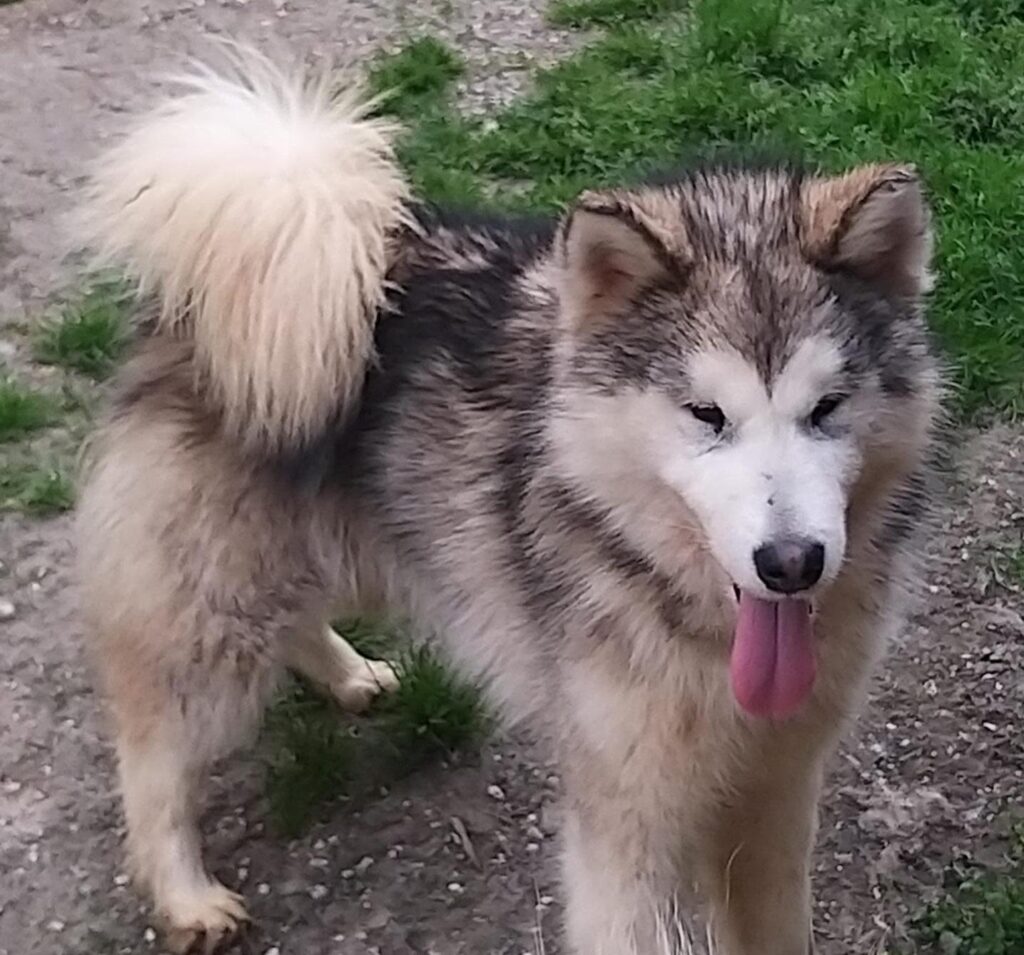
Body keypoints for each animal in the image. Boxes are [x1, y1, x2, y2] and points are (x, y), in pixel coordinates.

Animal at [75, 50, 942, 953]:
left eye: (828, 406)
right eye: (707, 414)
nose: (791, 562)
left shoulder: (776, 791)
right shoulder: (624, 822)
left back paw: (349, 674)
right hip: (212, 617)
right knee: (151, 752)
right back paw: (184, 892)